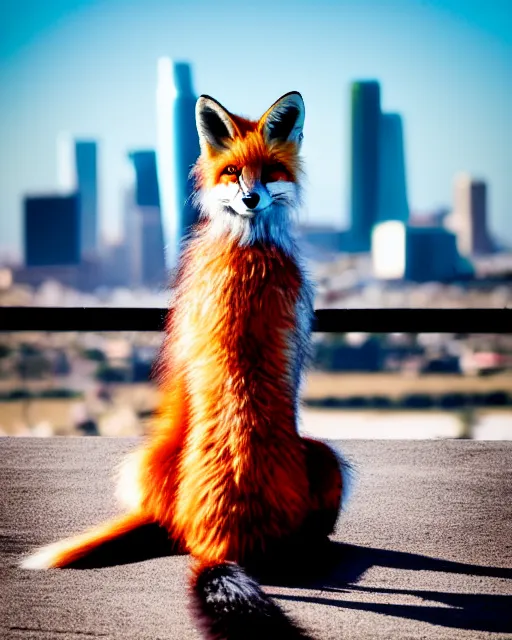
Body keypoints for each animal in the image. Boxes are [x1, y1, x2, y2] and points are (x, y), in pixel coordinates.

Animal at [22, 91, 346, 640]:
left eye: (269, 172)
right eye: (233, 171)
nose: (251, 199)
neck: (247, 244)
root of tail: (224, 544)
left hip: (153, 461)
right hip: (329, 457)